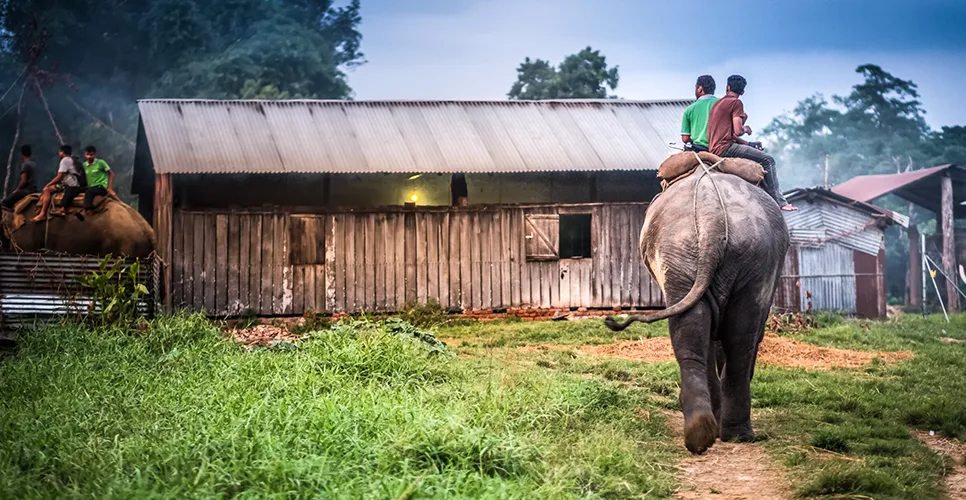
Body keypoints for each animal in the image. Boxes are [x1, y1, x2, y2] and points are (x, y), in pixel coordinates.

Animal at [608, 170, 792, 456]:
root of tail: (711, 218)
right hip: (724, 257)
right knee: (736, 337)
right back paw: (728, 432)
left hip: (698, 255)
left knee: (702, 331)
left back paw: (706, 430)